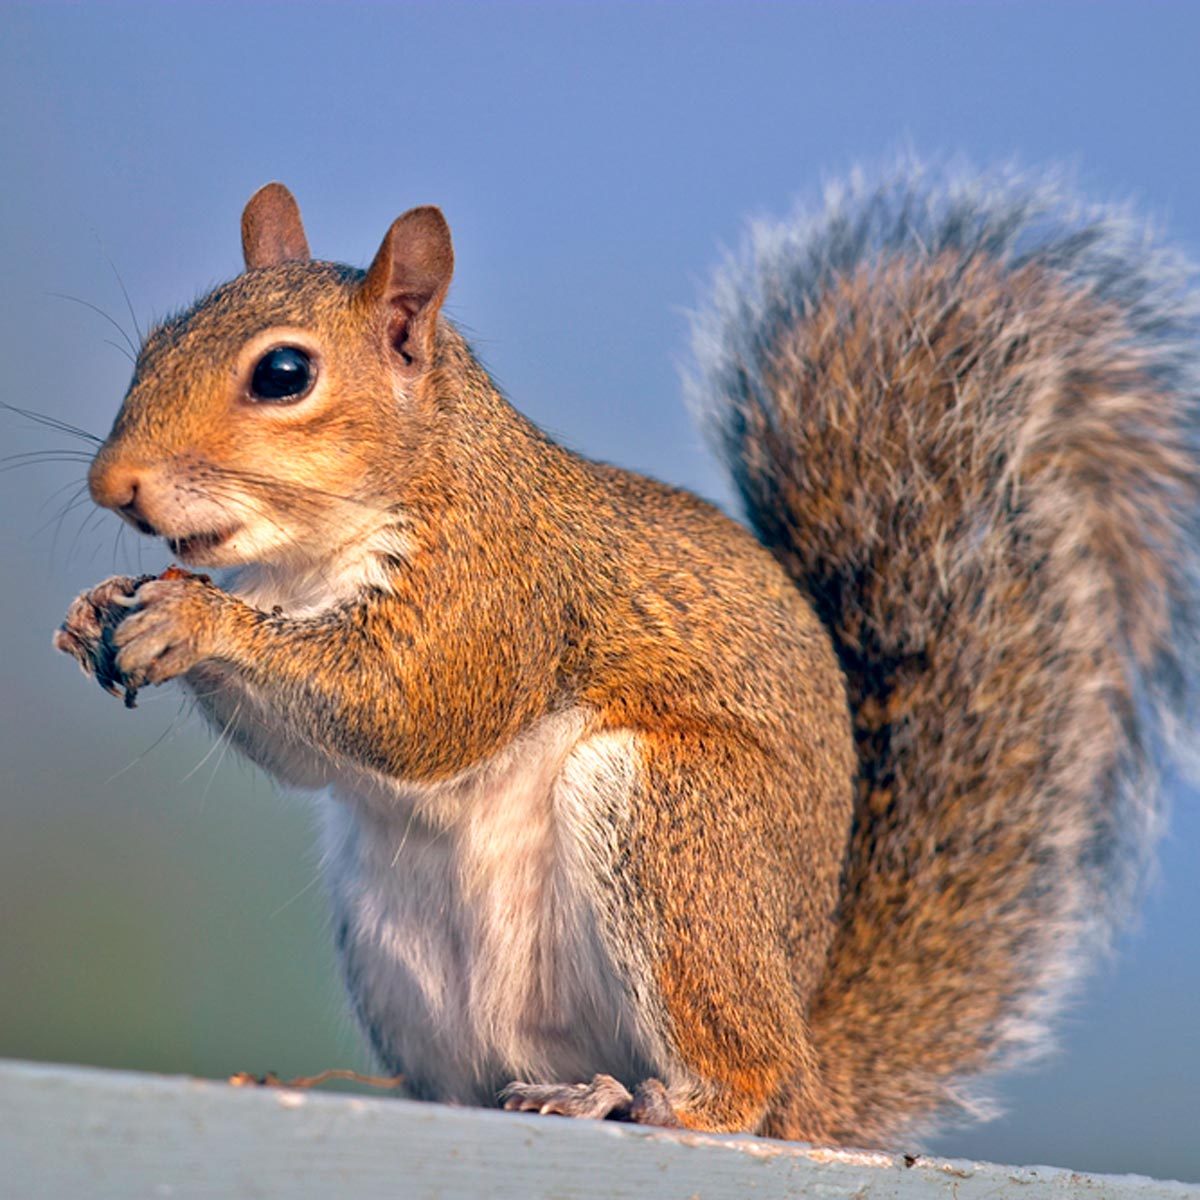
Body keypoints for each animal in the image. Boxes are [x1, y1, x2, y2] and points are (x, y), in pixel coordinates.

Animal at [53, 166, 1200, 1145]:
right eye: (156, 341)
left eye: (284, 374)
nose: (113, 485)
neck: (314, 556)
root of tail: (811, 1065)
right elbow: (311, 752)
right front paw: (98, 611)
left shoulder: (498, 595)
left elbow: (413, 712)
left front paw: (196, 625)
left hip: (675, 826)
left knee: (742, 1082)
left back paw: (652, 1103)